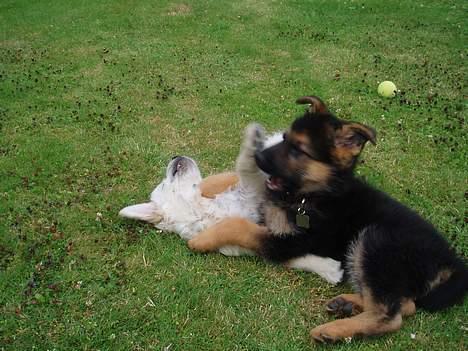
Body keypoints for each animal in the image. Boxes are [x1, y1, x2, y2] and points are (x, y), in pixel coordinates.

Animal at [119, 125, 342, 284]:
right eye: (164, 183)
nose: (175, 156)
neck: (204, 212)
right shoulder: (249, 241)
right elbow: (285, 255)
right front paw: (329, 269)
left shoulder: (253, 189)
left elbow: (243, 171)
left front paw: (251, 146)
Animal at [187, 95, 468, 344]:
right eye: (284, 139)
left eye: (298, 149)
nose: (256, 157)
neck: (313, 194)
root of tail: (452, 263)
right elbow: (234, 179)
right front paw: (202, 185)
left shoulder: (289, 242)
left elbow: (238, 224)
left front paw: (202, 239)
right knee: (405, 304)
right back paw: (346, 304)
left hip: (376, 240)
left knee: (392, 314)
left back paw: (333, 331)